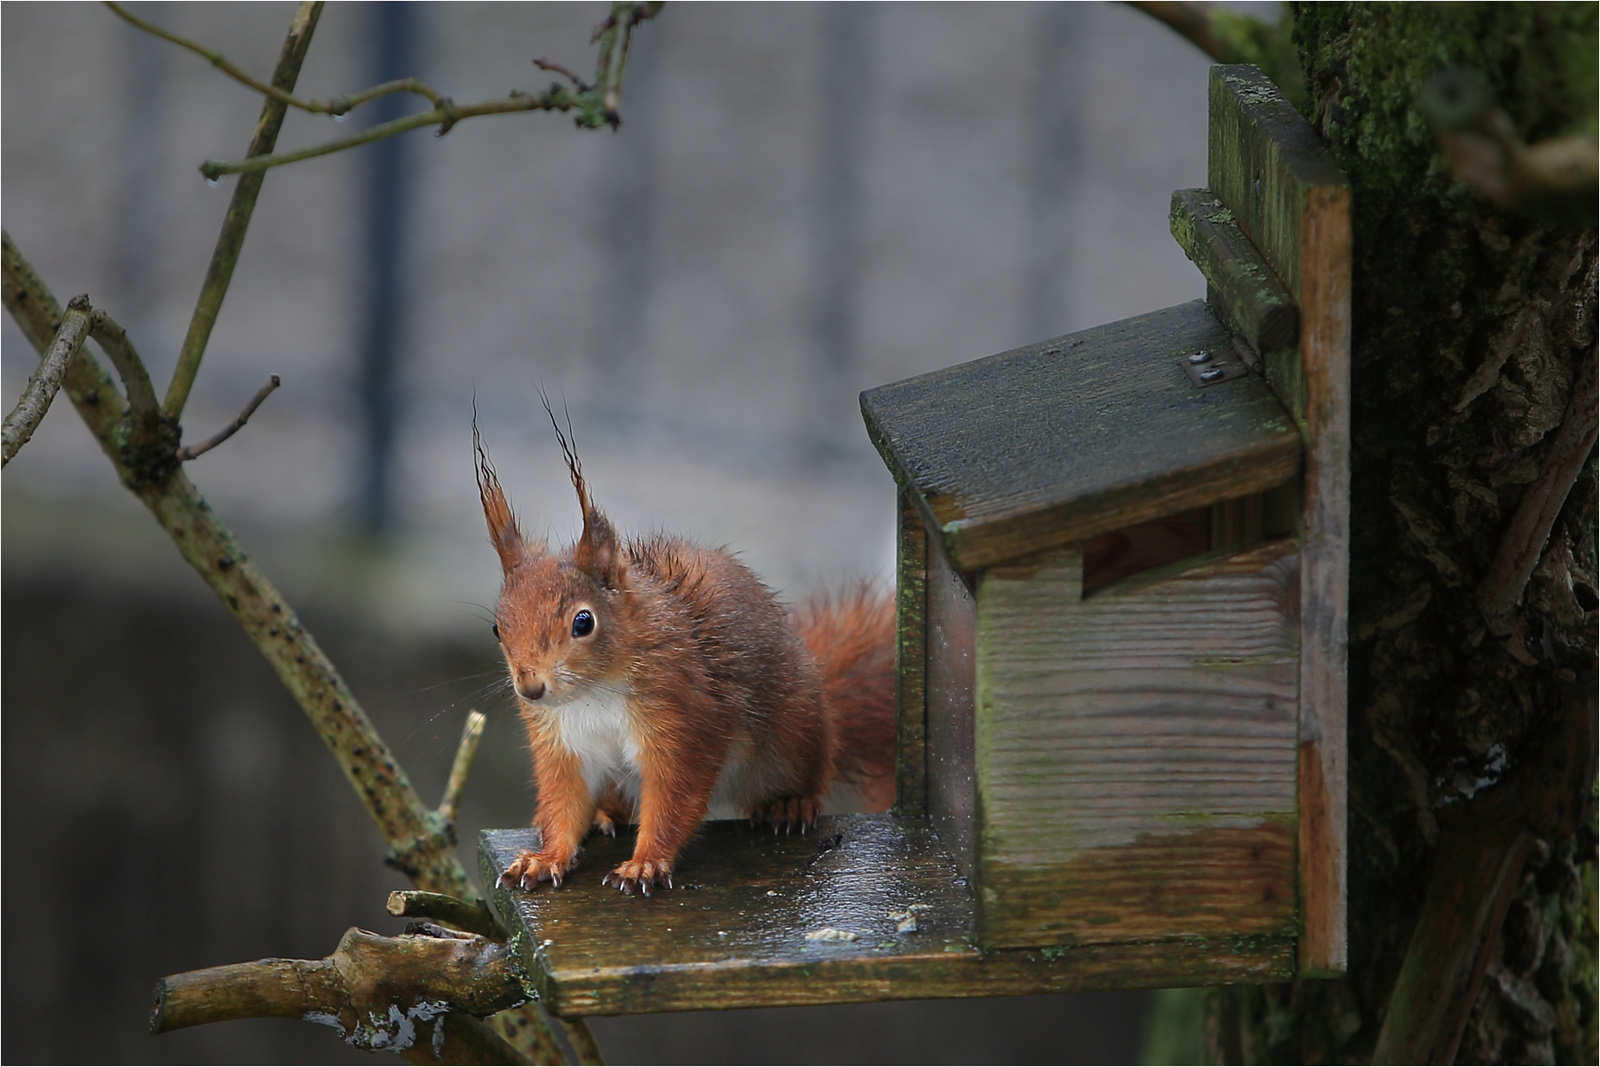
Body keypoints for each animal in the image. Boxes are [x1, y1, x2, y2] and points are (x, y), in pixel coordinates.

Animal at [473, 409, 902, 895]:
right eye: (497, 628)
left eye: (583, 622)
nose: (530, 688)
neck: (593, 693)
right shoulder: (561, 745)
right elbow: (563, 804)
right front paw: (545, 859)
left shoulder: (685, 718)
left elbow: (674, 797)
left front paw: (645, 863)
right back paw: (603, 813)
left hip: (796, 733)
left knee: (809, 771)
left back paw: (791, 803)